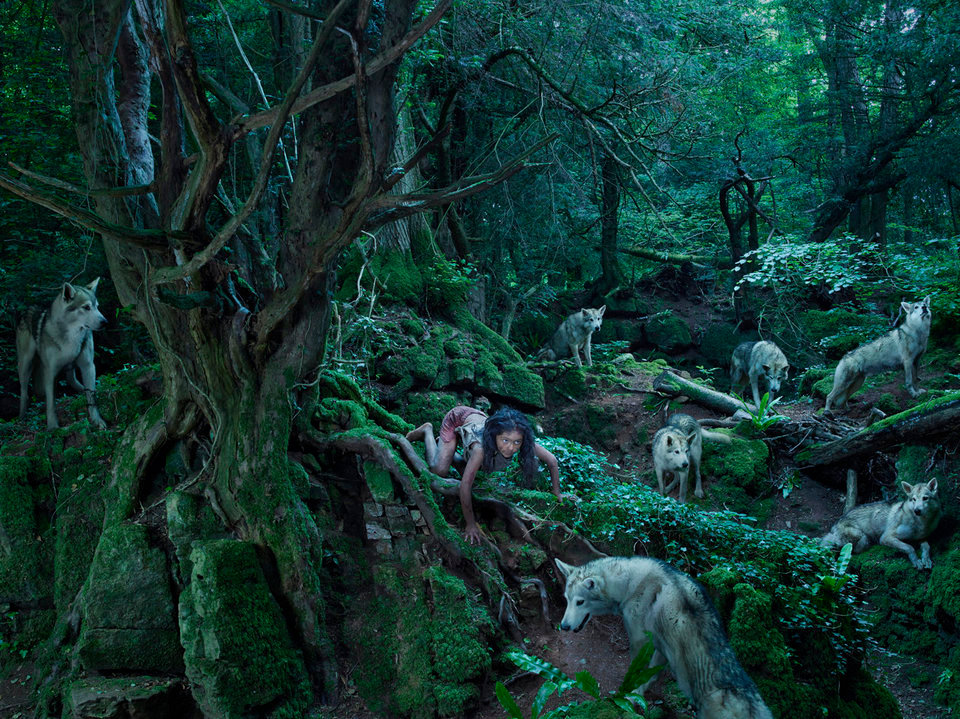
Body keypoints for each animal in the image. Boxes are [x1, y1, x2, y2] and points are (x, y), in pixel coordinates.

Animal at [556, 556, 772, 719]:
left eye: (580, 602)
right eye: (567, 600)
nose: (563, 626)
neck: (629, 583)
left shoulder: (639, 640)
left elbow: (636, 673)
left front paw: (630, 694)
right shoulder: (660, 645)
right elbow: (651, 674)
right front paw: (641, 693)